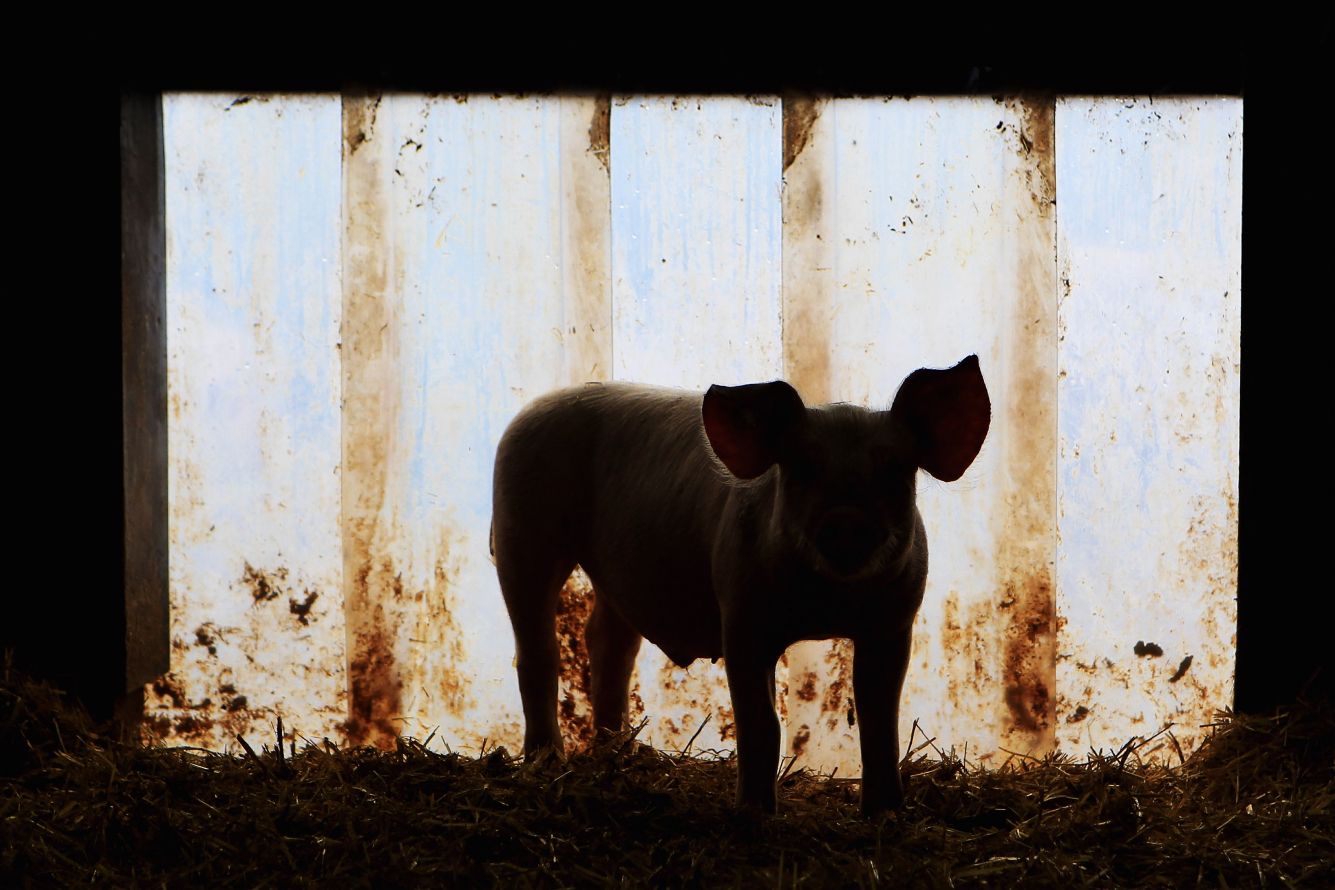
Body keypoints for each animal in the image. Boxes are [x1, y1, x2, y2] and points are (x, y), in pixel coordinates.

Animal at [491, 355, 990, 815]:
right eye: (802, 466)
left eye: (894, 469)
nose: (846, 521)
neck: (825, 605)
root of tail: (527, 412)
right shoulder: (742, 615)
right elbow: (762, 723)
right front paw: (754, 813)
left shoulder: (893, 623)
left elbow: (879, 716)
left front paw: (885, 813)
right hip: (522, 529)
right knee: (538, 652)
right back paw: (546, 762)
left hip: (615, 572)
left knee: (608, 644)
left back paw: (619, 753)